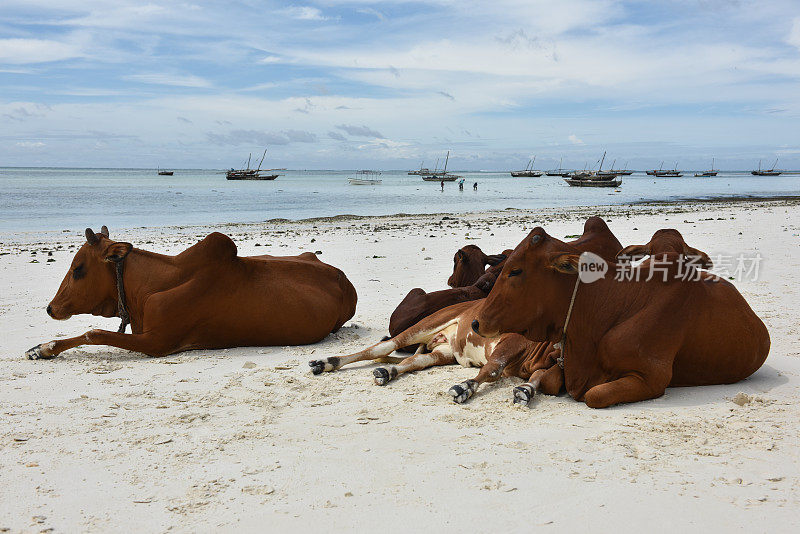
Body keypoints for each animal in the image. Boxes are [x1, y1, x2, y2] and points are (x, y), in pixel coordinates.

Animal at [25, 226, 356, 360]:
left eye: (78, 268)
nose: (51, 308)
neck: (148, 288)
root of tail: (344, 279)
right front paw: (40, 348)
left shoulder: (157, 342)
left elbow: (93, 333)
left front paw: (45, 348)